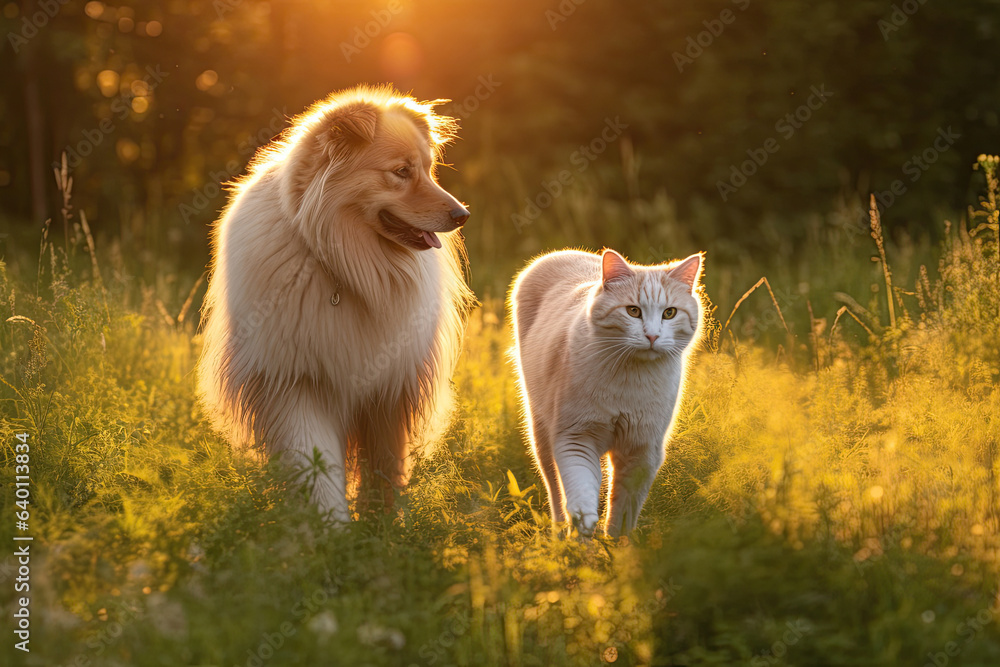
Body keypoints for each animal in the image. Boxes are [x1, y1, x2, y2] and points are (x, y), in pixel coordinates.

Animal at [512, 250, 700, 536]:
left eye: (670, 313)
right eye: (633, 311)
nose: (652, 336)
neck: (629, 379)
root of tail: (563, 252)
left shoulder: (642, 452)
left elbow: (622, 514)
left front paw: (613, 545)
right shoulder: (576, 438)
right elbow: (581, 492)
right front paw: (583, 531)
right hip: (541, 432)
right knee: (555, 491)